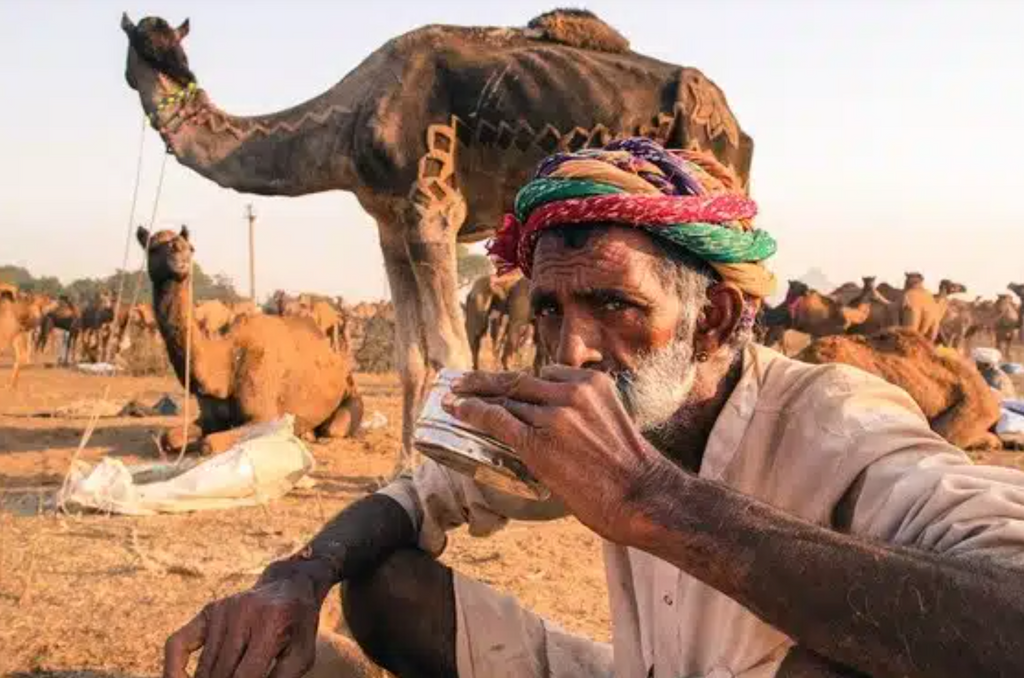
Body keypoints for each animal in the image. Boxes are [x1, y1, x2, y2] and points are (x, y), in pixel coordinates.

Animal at [138, 225, 364, 454]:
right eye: (153, 248)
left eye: (190, 248)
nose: (181, 260)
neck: (225, 362)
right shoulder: (209, 419)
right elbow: (168, 438)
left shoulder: (265, 417)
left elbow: (208, 443)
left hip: (350, 396)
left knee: (333, 429)